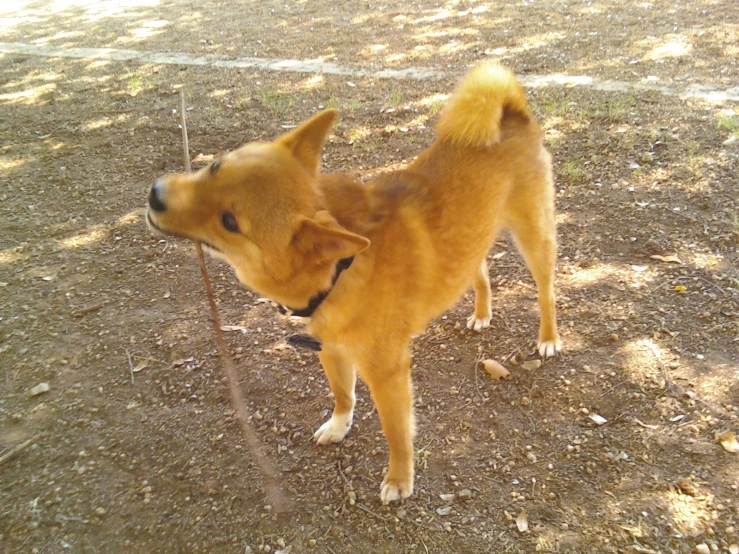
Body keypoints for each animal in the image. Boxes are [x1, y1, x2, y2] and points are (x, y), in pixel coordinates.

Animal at [146, 62, 560, 502]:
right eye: (215, 167)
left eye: (229, 222)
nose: (155, 195)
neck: (340, 270)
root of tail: (512, 114)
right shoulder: (331, 351)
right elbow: (343, 395)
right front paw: (339, 426)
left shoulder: (388, 373)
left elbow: (396, 432)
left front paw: (399, 478)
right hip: (473, 238)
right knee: (479, 272)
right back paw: (482, 313)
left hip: (534, 238)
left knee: (546, 291)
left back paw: (549, 337)